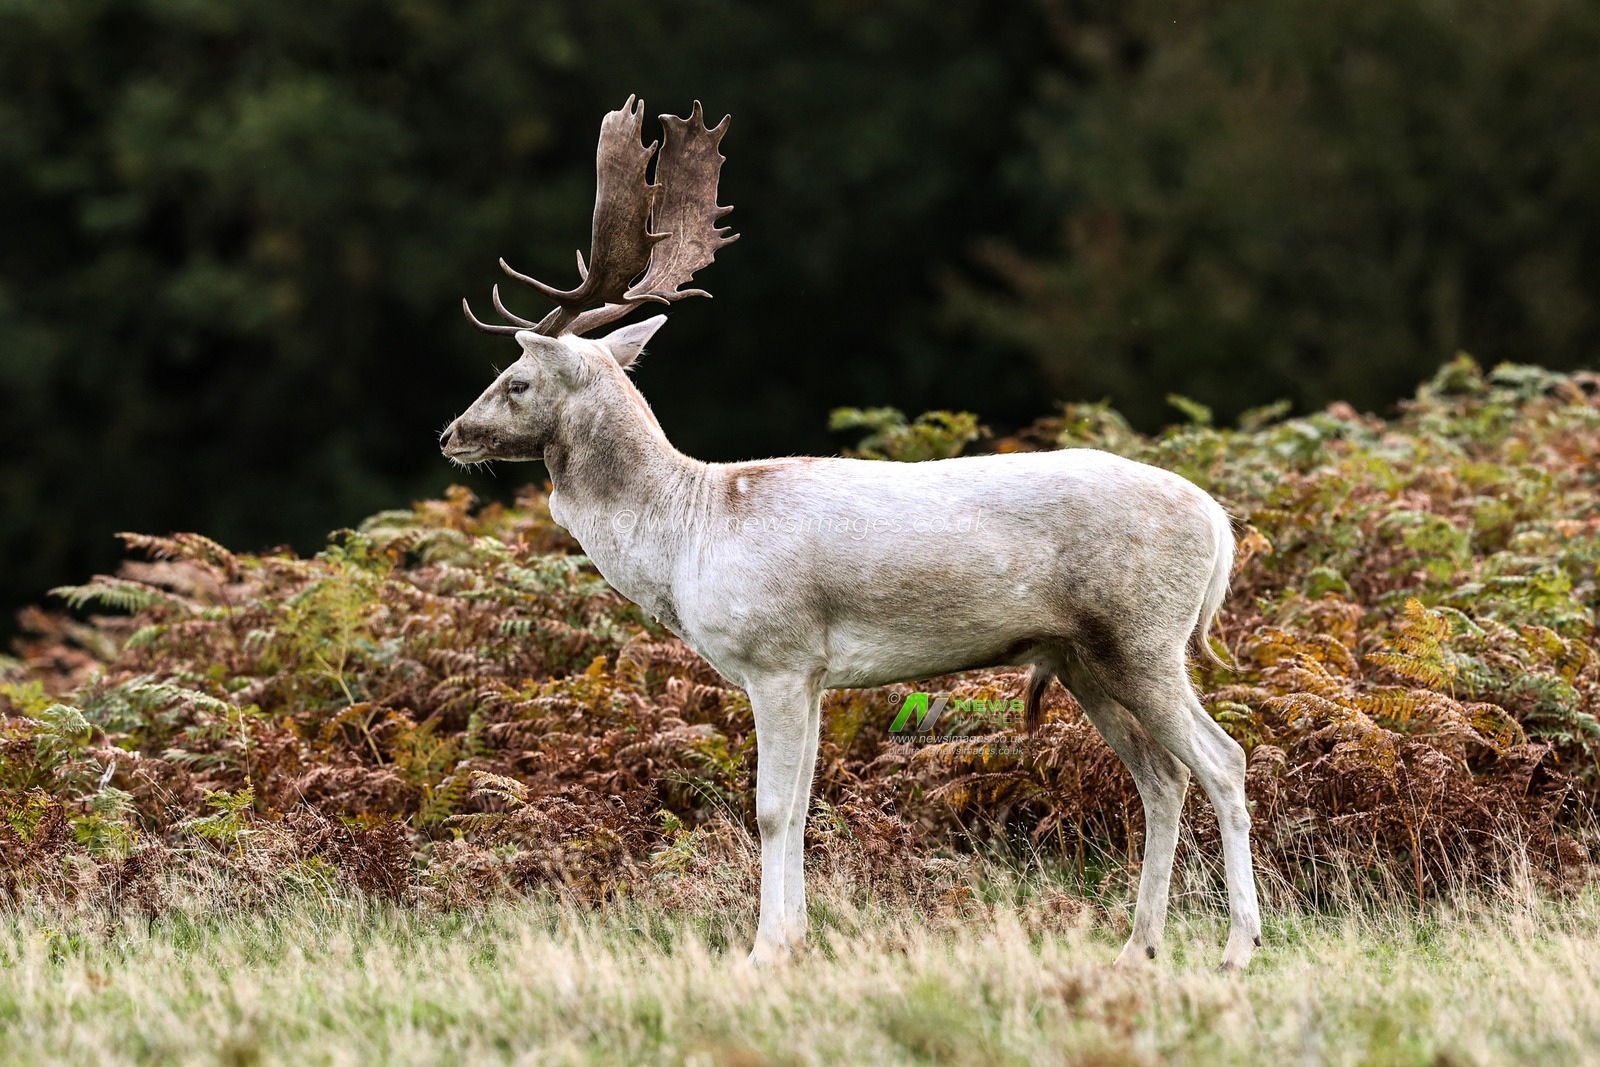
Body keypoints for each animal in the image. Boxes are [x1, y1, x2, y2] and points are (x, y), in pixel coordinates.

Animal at [438, 98, 1262, 971]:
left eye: (516, 380)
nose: (451, 433)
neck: (688, 530)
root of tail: (1217, 524)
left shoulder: (776, 653)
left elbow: (770, 805)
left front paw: (764, 949)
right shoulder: (813, 673)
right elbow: (803, 802)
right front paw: (798, 937)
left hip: (1143, 633)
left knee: (1224, 759)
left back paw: (1239, 944)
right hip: (1080, 655)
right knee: (1162, 776)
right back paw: (1138, 946)